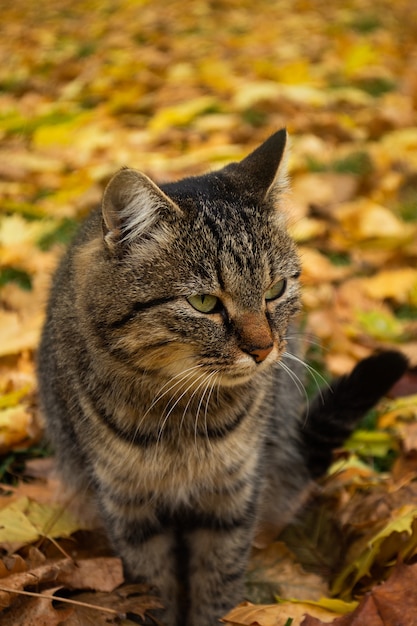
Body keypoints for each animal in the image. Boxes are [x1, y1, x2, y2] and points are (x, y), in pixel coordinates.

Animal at [37, 129, 408, 620]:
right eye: (204, 303)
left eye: (275, 289)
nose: (263, 349)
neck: (179, 418)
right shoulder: (128, 506)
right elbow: (153, 586)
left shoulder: (231, 499)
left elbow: (218, 584)